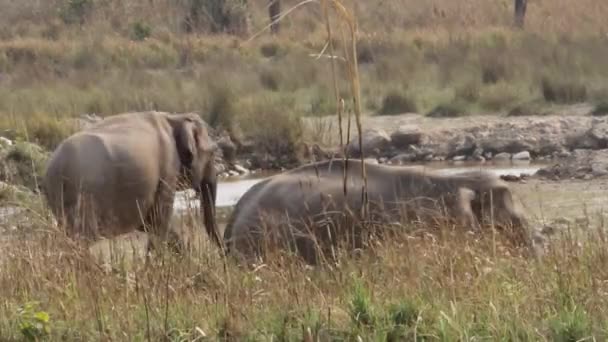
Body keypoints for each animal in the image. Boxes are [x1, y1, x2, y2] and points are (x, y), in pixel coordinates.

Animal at [42, 112, 223, 254]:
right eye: (213, 152)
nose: (224, 257)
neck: (174, 117)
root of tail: (56, 167)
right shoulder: (168, 169)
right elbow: (159, 220)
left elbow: (150, 222)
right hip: (85, 195)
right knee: (81, 238)